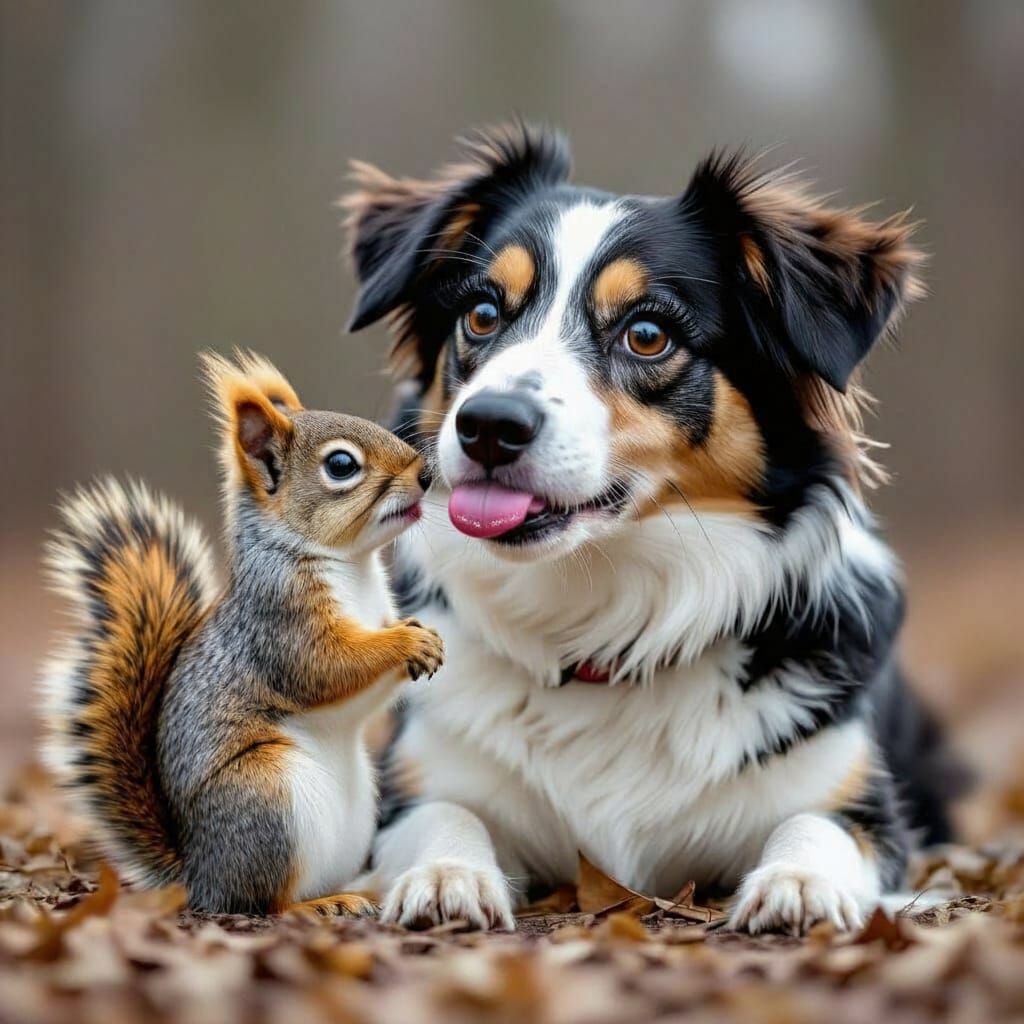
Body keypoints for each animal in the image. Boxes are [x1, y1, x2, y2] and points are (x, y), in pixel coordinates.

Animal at [40, 351, 444, 916]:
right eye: (341, 465)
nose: (426, 474)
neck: (352, 564)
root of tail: (199, 873)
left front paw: (421, 633)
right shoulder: (280, 620)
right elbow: (325, 668)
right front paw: (407, 643)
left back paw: (360, 888)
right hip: (267, 798)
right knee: (261, 900)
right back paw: (317, 905)